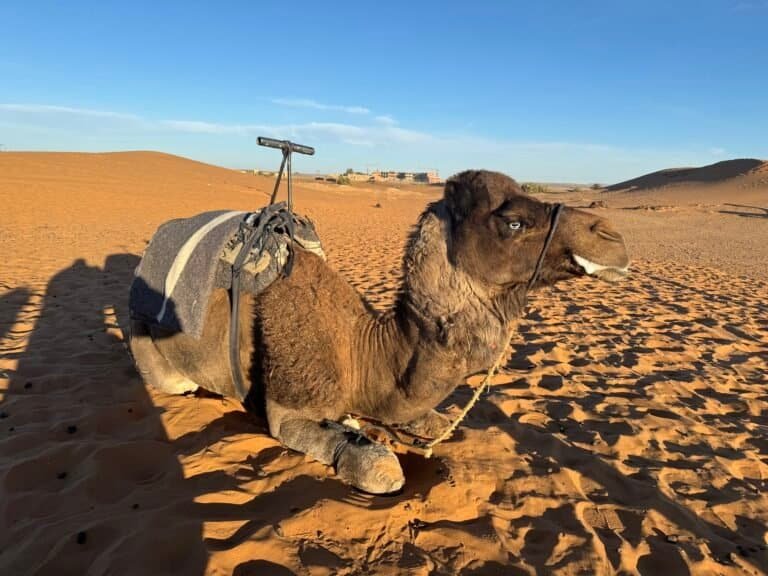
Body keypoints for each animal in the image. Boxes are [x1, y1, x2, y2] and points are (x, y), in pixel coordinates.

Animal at [128, 170, 629, 494]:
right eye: (513, 221)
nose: (612, 237)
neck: (361, 351)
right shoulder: (287, 407)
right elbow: (380, 469)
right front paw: (364, 446)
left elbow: (433, 420)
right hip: (146, 342)